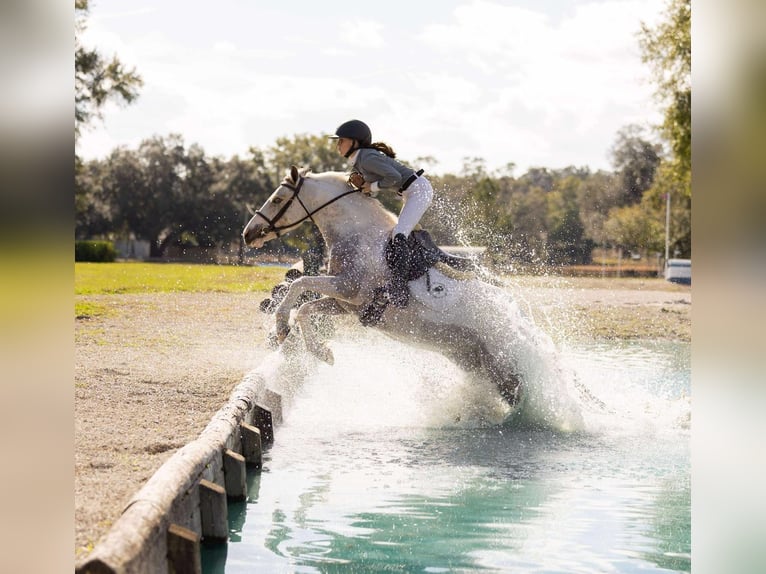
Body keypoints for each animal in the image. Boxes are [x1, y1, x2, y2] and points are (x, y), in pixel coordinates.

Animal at [243, 166, 572, 413]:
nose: (249, 234)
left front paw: (282, 327)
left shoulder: (346, 287)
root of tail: (517, 321)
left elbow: (299, 286)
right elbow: (306, 308)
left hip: (502, 357)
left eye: (278, 199)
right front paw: (321, 351)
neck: (357, 234)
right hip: (472, 359)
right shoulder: (347, 304)